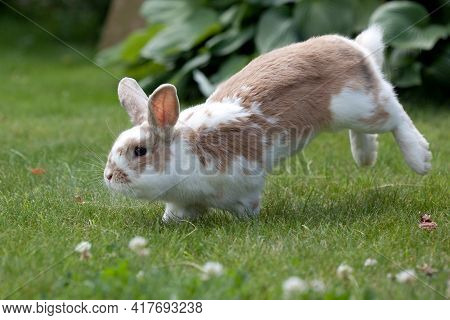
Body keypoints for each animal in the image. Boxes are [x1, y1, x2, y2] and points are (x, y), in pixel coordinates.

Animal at [104, 25, 432, 221]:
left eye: (140, 151)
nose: (108, 176)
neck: (187, 152)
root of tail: (357, 49)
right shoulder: (184, 203)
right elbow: (176, 213)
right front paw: (168, 223)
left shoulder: (245, 185)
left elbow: (248, 208)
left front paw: (249, 223)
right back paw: (365, 156)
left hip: (361, 107)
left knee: (396, 112)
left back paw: (421, 159)